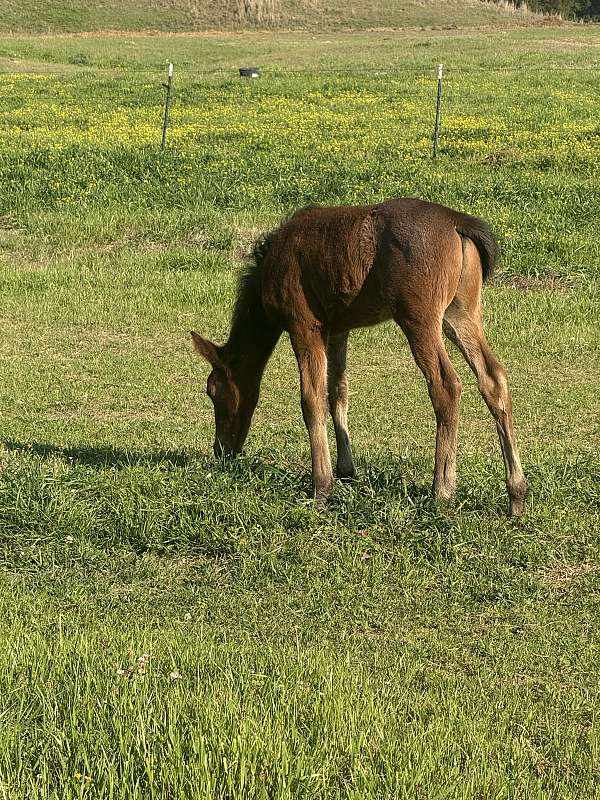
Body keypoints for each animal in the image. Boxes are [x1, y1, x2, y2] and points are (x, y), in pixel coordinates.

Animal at [191, 198, 528, 516]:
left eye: (212, 391)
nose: (221, 450)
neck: (267, 274)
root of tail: (459, 224)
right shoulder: (337, 329)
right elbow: (337, 392)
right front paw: (345, 471)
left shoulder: (304, 324)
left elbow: (311, 399)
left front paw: (321, 487)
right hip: (462, 312)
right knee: (494, 378)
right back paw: (517, 494)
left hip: (419, 316)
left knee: (446, 385)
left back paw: (443, 488)